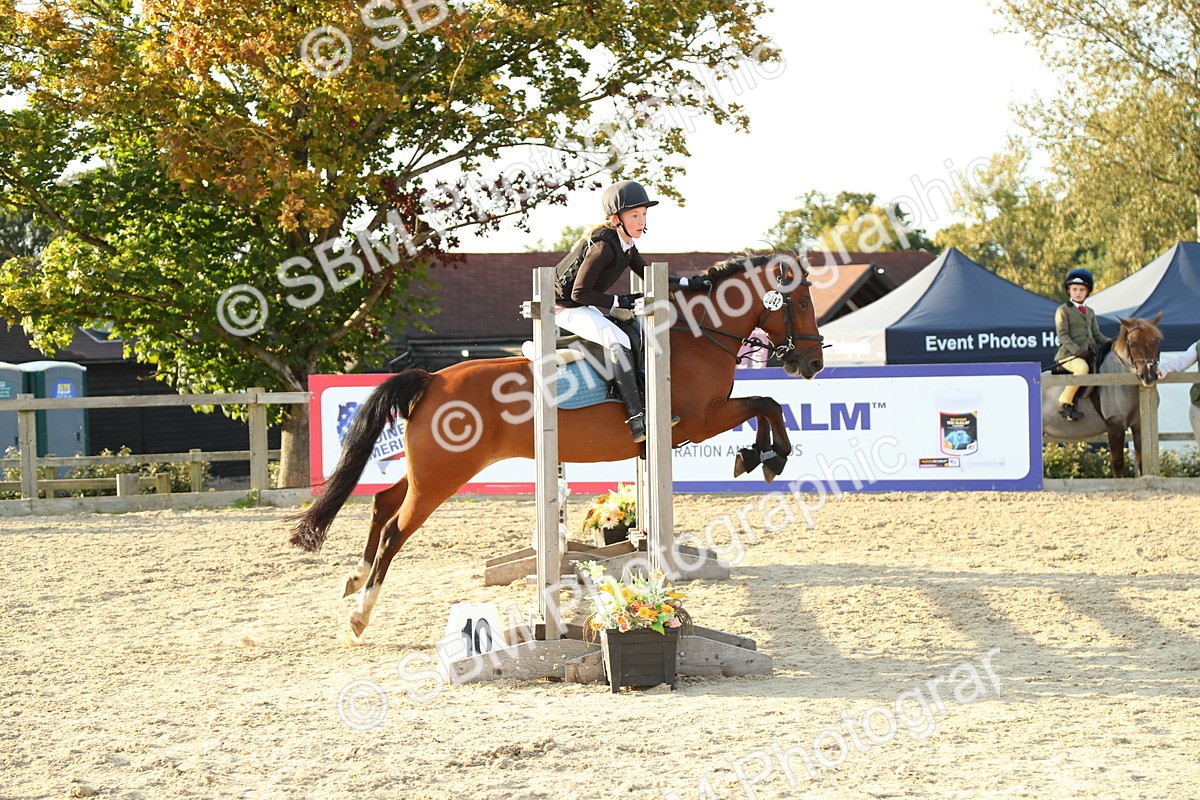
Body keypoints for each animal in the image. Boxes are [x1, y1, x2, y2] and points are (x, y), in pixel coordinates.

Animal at [290, 254, 825, 639]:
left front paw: (759, 456)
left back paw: (354, 580)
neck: (695, 337)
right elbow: (767, 402)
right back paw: (360, 614)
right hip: (444, 475)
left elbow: (767, 405)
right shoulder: (698, 419)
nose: (813, 364)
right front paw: (766, 457)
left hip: (432, 469)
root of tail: (432, 379)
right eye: (800, 303)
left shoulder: (705, 418)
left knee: (384, 501)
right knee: (395, 530)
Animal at [1041, 314, 1163, 477]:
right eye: (1132, 344)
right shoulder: (1115, 424)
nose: (1149, 376)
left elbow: (1141, 462)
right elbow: (1117, 463)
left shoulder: (1138, 425)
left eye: (1156, 341)